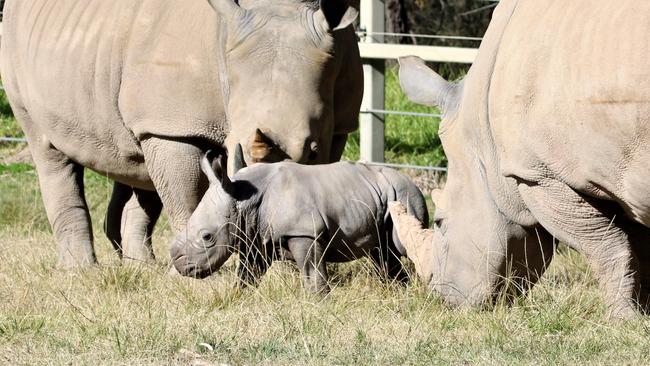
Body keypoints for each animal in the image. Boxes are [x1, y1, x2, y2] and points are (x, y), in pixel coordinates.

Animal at [0, 0, 362, 268]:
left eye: (312, 150)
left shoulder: (340, 123)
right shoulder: (175, 124)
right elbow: (186, 197)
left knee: (140, 170)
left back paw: (141, 268)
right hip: (17, 51)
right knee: (48, 150)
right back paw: (82, 272)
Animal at [170, 147, 428, 294]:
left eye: (207, 237)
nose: (181, 267)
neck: (244, 200)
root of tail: (412, 181)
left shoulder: (304, 232)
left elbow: (311, 270)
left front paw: (319, 301)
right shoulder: (257, 238)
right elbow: (247, 275)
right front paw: (236, 298)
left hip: (405, 195)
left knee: (402, 246)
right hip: (384, 196)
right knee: (383, 253)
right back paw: (400, 292)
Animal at [388, 0, 648, 316]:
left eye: (439, 222)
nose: (439, 298)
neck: (482, 142)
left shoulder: (538, 174)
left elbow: (606, 246)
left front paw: (621, 319)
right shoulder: (616, 174)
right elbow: (639, 249)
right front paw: (643, 314)